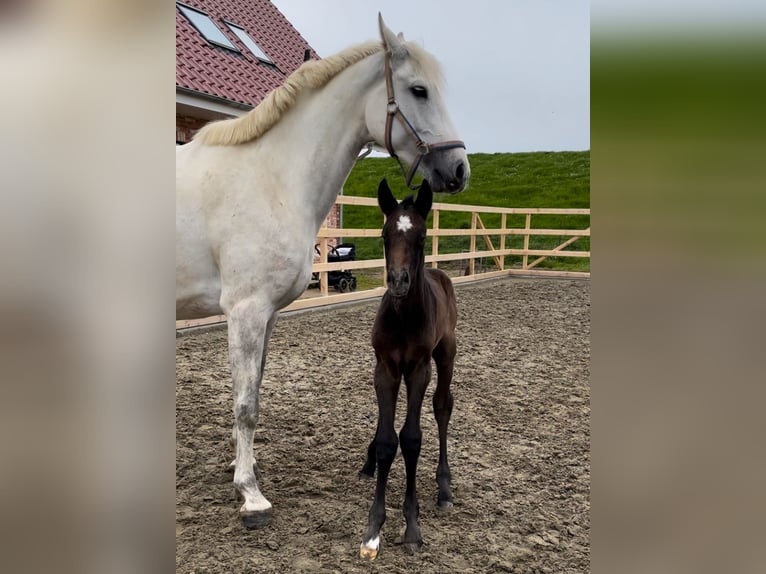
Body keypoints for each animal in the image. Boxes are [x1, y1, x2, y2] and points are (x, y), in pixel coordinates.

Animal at [358, 180, 456, 564]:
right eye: (385, 235)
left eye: (422, 236)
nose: (398, 281)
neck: (402, 318)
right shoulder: (385, 368)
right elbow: (389, 440)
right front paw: (373, 530)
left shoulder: (418, 370)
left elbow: (412, 438)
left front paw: (412, 527)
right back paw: (369, 463)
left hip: (446, 354)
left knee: (443, 406)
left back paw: (444, 487)